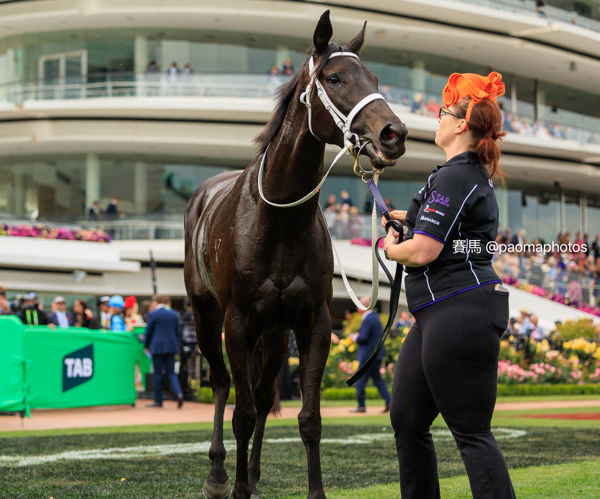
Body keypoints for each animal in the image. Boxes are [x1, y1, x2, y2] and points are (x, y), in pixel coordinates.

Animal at [183, 11, 408, 499]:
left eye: (374, 77)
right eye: (335, 77)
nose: (394, 134)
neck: (279, 219)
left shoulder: (311, 320)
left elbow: (308, 418)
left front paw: (306, 488)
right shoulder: (237, 321)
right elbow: (242, 413)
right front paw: (235, 486)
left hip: (274, 329)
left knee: (266, 392)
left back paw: (252, 472)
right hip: (206, 316)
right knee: (222, 384)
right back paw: (219, 474)